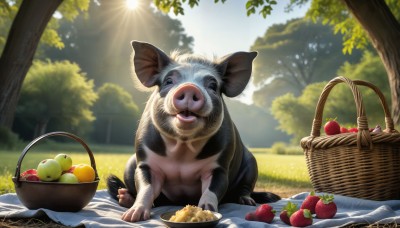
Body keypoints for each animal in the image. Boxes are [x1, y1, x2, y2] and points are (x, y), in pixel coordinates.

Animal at [107, 40, 282, 222]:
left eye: (212, 85)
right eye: (168, 81)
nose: (190, 87)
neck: (182, 148)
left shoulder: (219, 166)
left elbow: (211, 190)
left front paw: (207, 212)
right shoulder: (145, 162)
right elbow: (146, 187)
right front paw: (132, 217)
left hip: (251, 164)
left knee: (244, 188)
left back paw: (247, 201)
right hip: (130, 164)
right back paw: (124, 198)